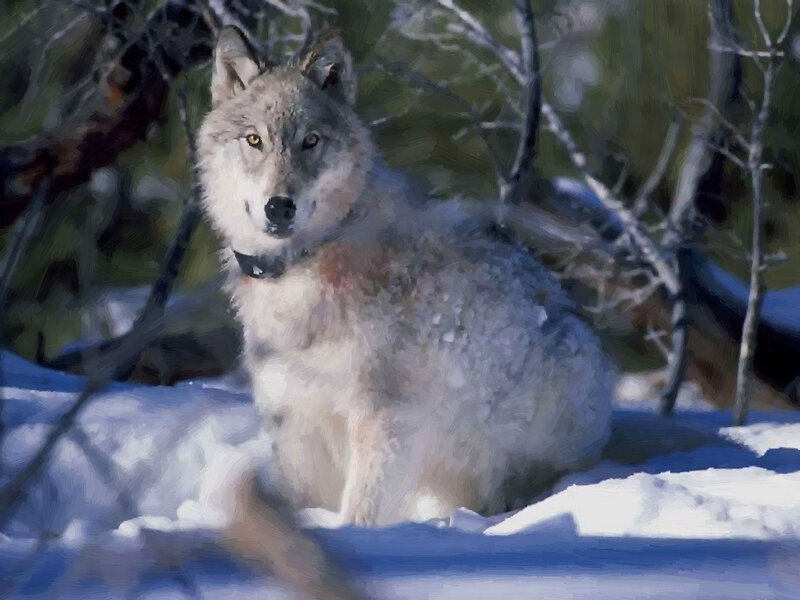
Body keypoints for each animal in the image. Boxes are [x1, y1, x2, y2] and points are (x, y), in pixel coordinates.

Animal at [198, 27, 614, 527]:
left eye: (311, 141)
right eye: (254, 140)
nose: (279, 206)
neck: (304, 267)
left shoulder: (385, 417)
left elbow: (360, 508)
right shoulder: (295, 419)